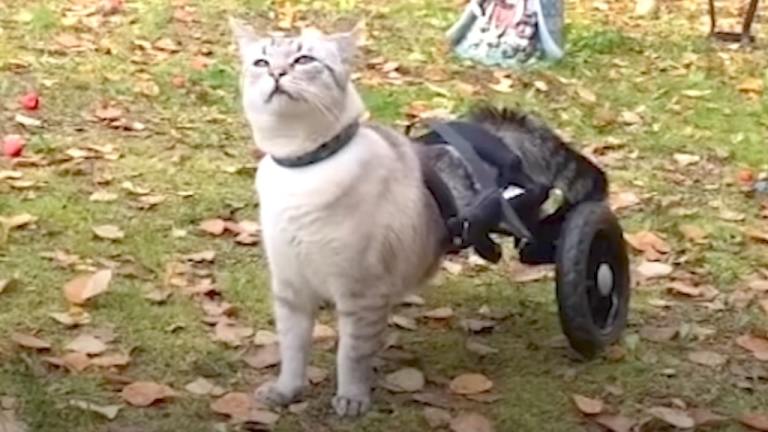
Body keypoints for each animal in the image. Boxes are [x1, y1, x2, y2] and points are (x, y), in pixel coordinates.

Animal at [226, 18, 450, 416]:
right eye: (261, 63)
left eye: (303, 60)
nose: (277, 73)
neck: (301, 168)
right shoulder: (290, 288)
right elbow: (292, 349)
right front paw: (286, 392)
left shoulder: (361, 294)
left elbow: (351, 355)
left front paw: (351, 399)